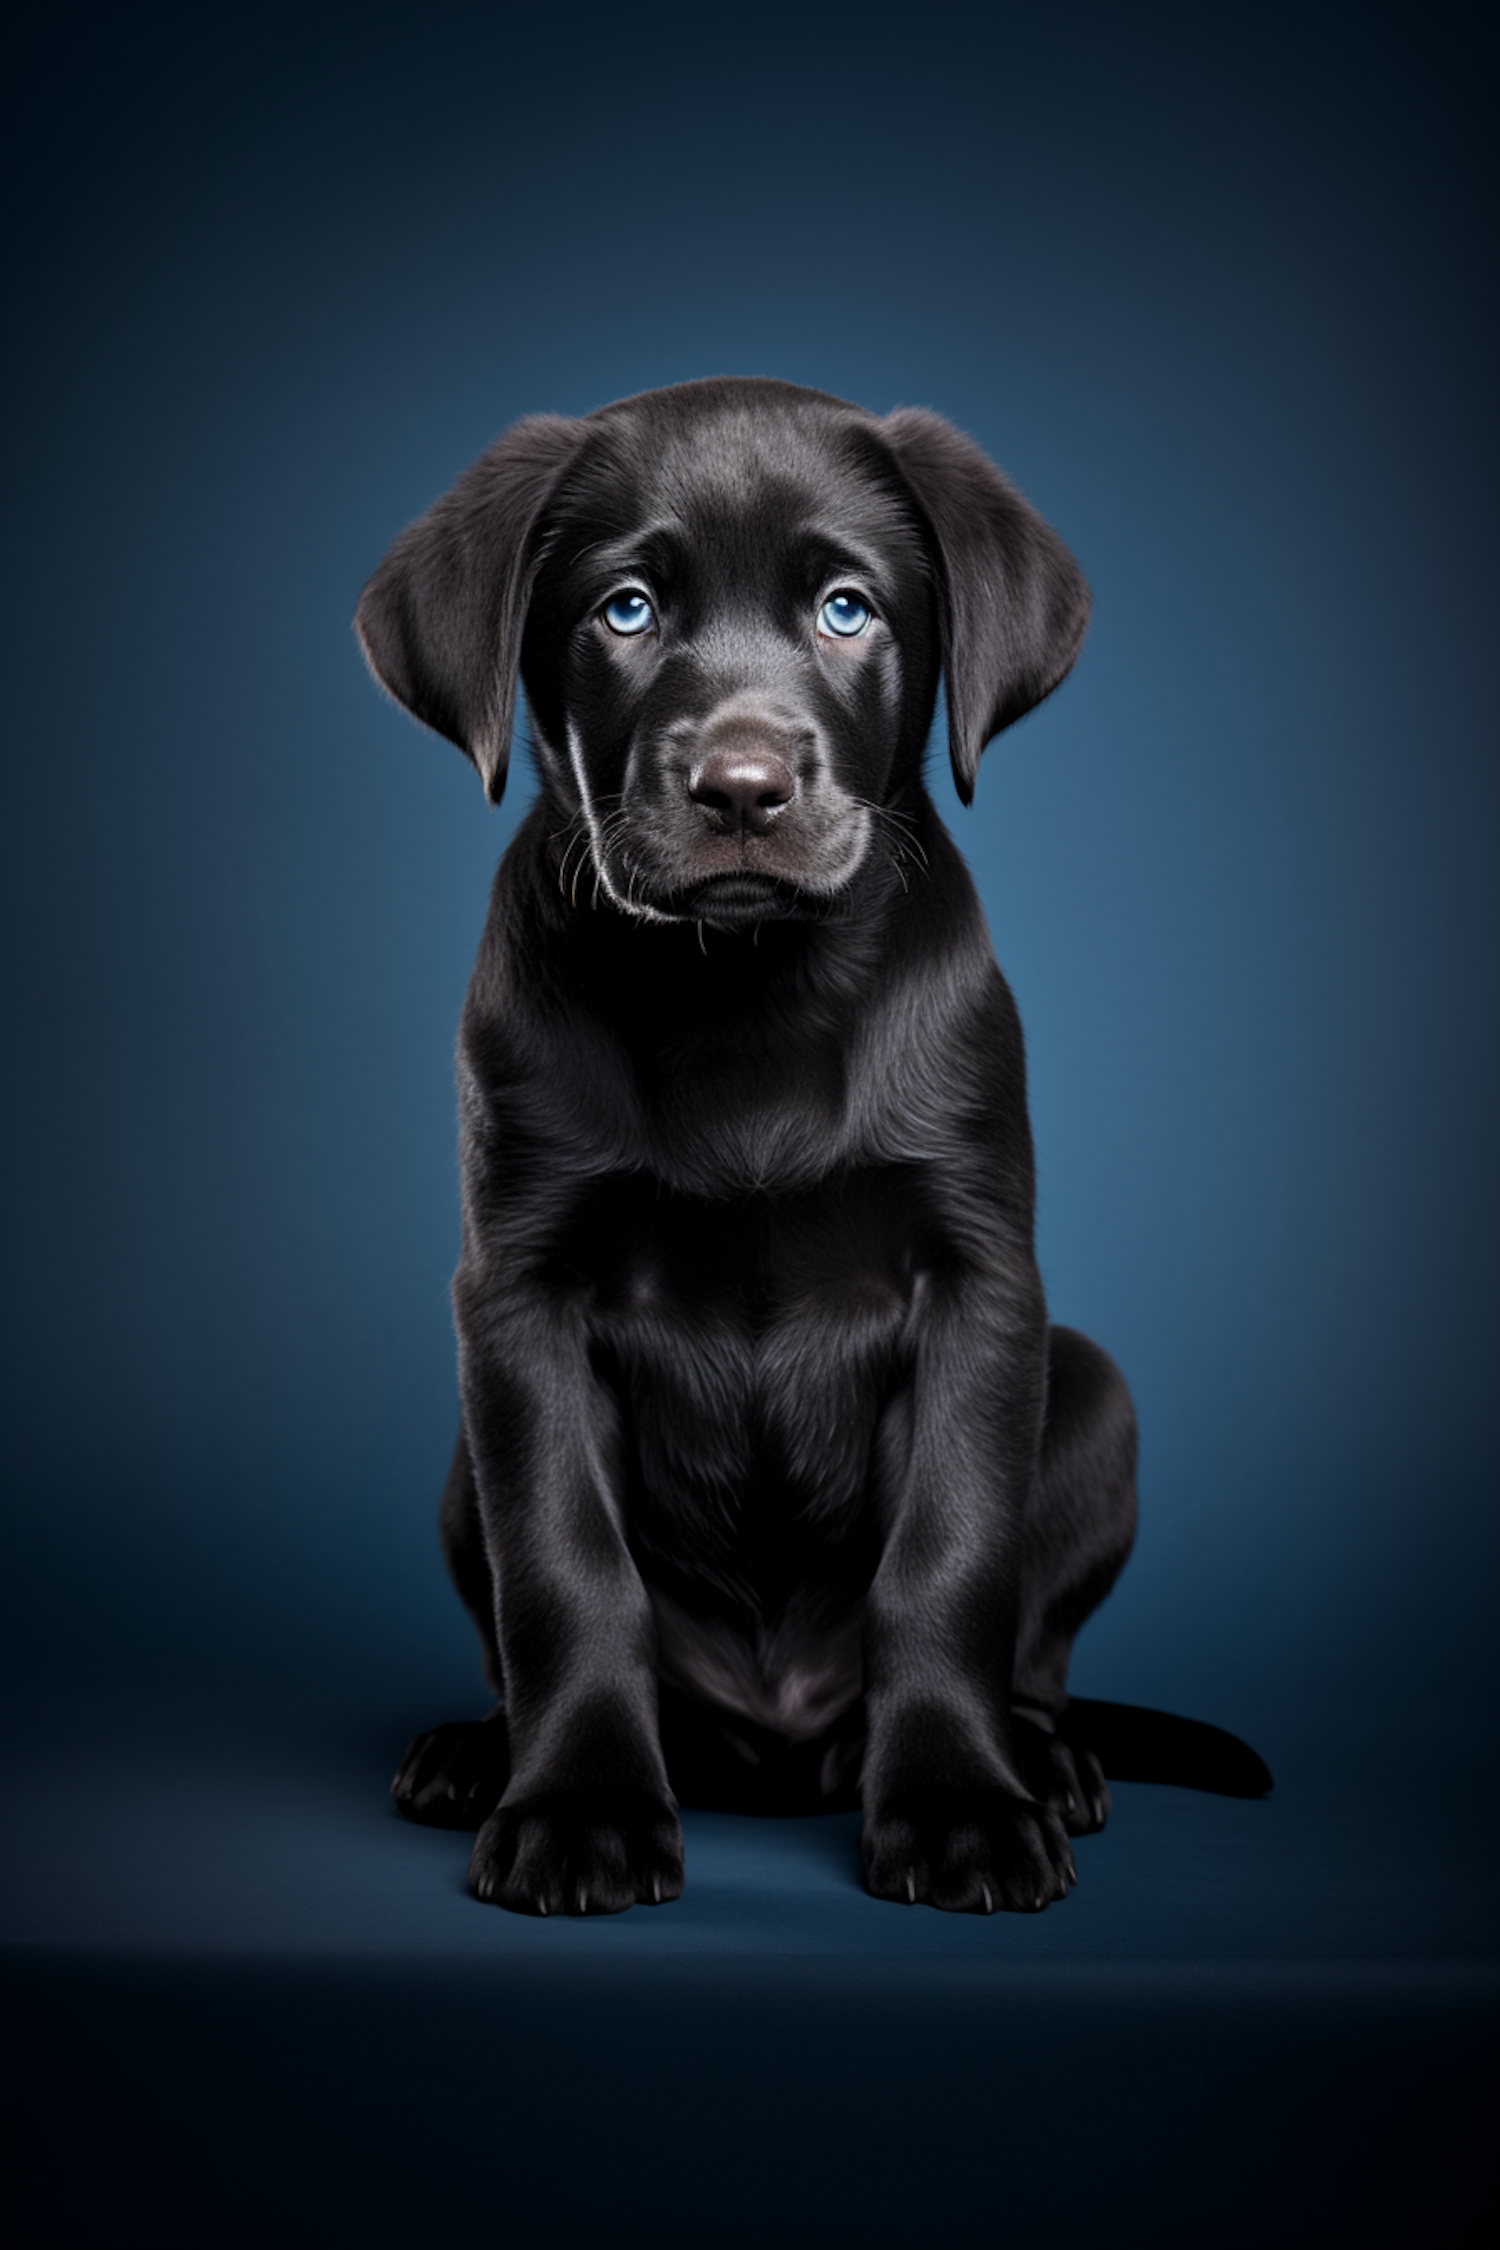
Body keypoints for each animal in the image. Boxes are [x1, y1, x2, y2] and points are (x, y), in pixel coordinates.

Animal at [359, 373, 1268, 1917]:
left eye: (848, 608)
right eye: (625, 610)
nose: (741, 787)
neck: (744, 995)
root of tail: (770, 1746)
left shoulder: (977, 1279)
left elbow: (947, 1558)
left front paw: (962, 1805)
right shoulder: (519, 1294)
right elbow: (565, 1564)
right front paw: (578, 1805)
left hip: (1088, 1386)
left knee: (1030, 1644)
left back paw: (1044, 1760)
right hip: (457, 1463)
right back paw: (482, 1751)